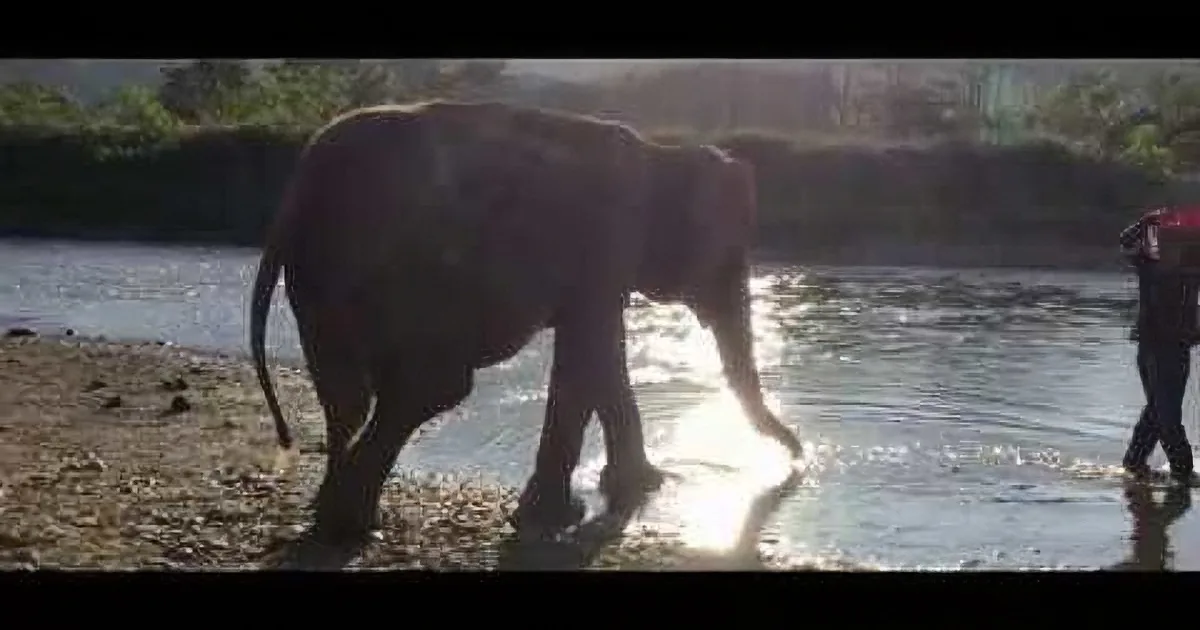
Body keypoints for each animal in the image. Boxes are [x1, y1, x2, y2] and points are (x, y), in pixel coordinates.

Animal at [249, 100, 803, 545]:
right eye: (729, 258)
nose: (800, 458)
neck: (662, 152)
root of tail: (299, 190)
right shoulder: (607, 241)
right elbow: (591, 350)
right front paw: (563, 514)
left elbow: (601, 357)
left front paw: (643, 485)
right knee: (429, 388)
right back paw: (351, 525)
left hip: (320, 284)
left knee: (347, 397)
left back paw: (336, 521)